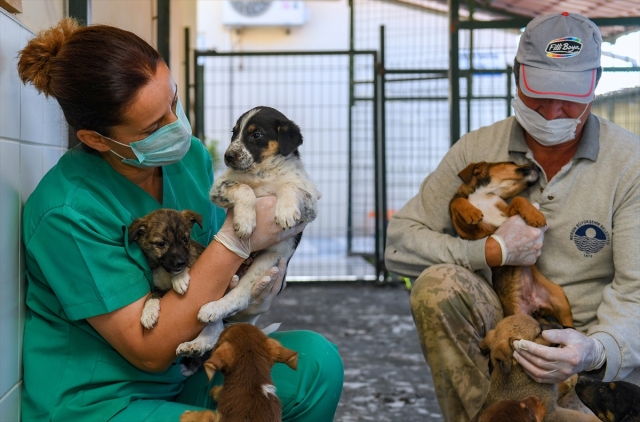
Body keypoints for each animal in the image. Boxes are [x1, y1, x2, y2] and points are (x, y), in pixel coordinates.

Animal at [195, 105, 322, 332]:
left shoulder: (311, 204)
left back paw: (215, 310)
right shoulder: (219, 187)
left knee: (240, 296)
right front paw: (245, 222)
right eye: (234, 132)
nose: (228, 156)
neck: (262, 172)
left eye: (256, 135)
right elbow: (244, 188)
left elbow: (289, 185)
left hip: (269, 260)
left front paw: (285, 212)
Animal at [450, 162, 576, 326]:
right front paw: (472, 212)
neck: (484, 194)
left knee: (569, 325)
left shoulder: (507, 213)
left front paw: (535, 215)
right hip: (517, 314)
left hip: (560, 298)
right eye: (512, 163)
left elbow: (518, 199)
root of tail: (534, 307)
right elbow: (457, 202)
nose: (535, 165)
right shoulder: (471, 231)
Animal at [472, 314, 604, 422]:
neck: (521, 374)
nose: (564, 327)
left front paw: (565, 384)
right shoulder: (551, 414)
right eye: (539, 332)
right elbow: (581, 417)